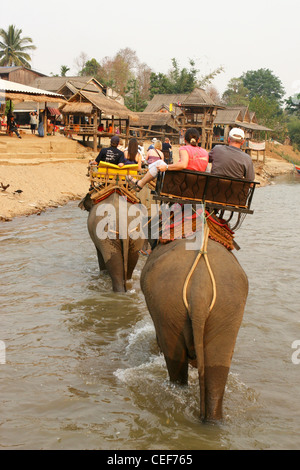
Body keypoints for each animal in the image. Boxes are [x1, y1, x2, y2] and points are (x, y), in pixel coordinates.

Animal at [141, 235, 248, 422]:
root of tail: (199, 289)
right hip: (227, 310)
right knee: (216, 370)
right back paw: (213, 420)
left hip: (167, 306)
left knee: (176, 365)